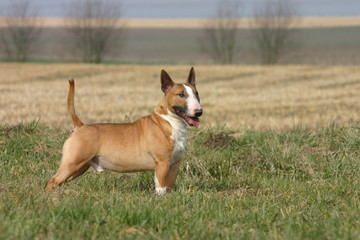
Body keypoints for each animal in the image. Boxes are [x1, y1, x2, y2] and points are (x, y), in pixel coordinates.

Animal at [46, 67, 202, 195]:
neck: (169, 122)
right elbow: (161, 188)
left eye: (196, 93)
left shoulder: (175, 165)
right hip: (73, 163)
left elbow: (169, 187)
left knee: (58, 181)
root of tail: (81, 126)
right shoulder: (162, 163)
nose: (199, 112)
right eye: (181, 94)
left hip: (79, 167)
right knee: (53, 180)